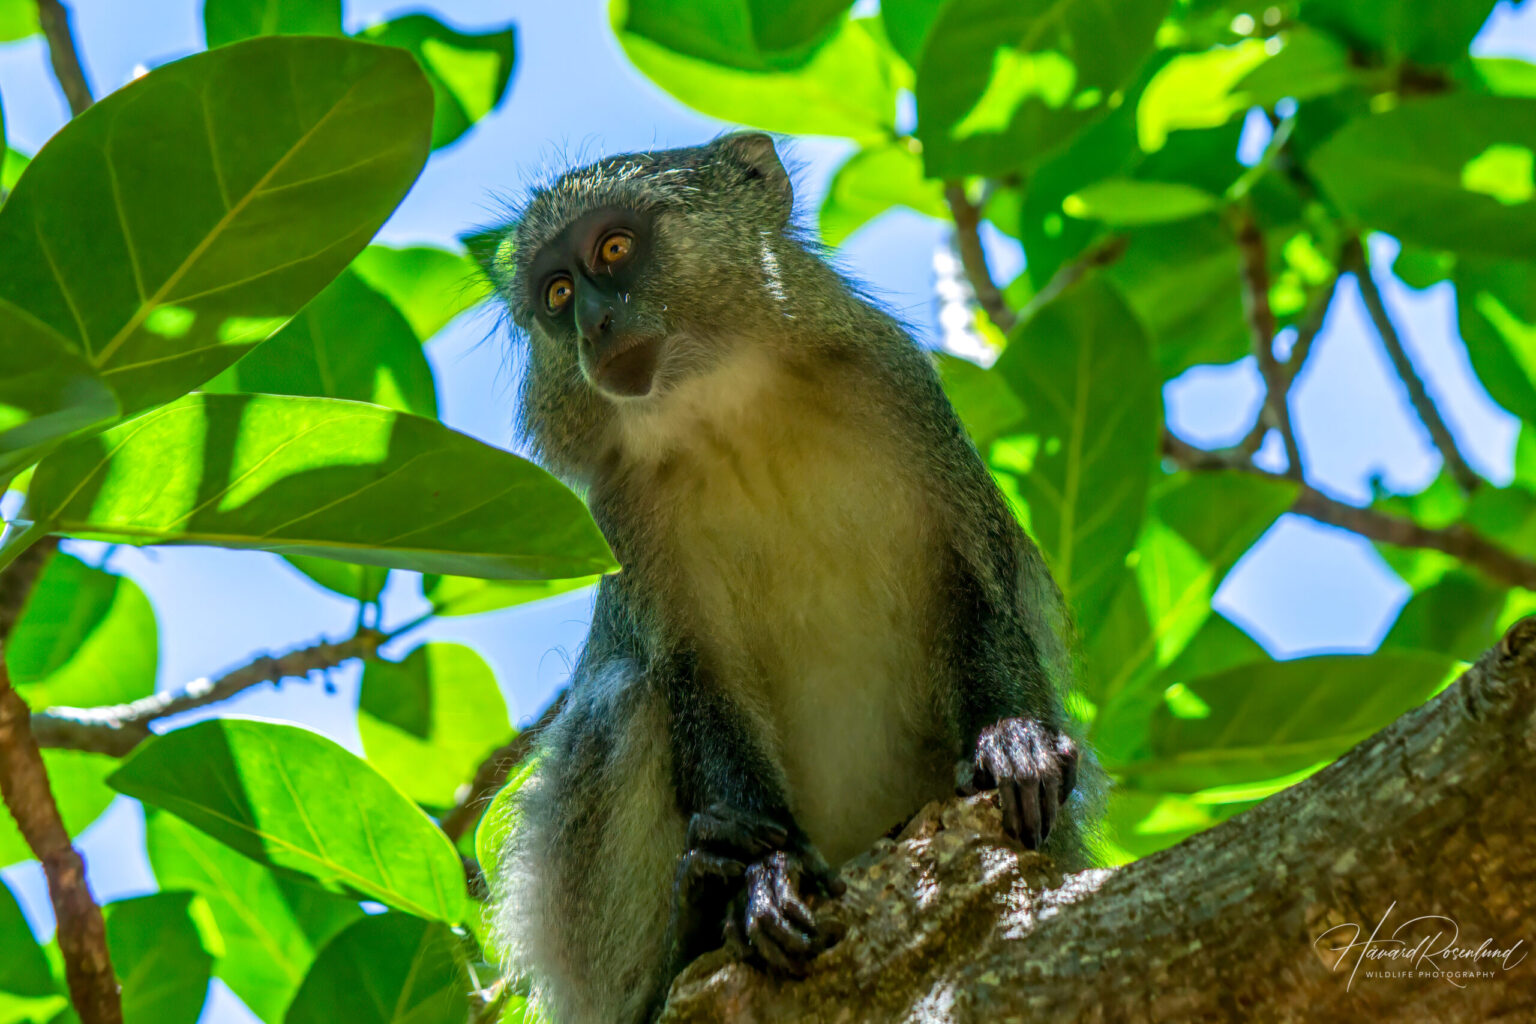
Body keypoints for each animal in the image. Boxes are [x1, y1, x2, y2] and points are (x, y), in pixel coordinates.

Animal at [478, 133, 1102, 1024]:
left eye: (614, 249)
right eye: (556, 294)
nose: (593, 324)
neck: (731, 405)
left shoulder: (900, 387)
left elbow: (976, 583)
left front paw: (1012, 744)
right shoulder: (622, 512)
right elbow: (694, 676)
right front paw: (759, 883)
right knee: (627, 695)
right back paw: (686, 934)